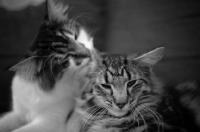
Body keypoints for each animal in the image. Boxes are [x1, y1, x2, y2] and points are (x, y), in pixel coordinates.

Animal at [0, 0, 96, 132]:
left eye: (76, 36)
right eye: (65, 61)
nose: (88, 53)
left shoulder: (50, 121)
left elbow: (18, 130)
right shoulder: (19, 113)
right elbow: (4, 122)